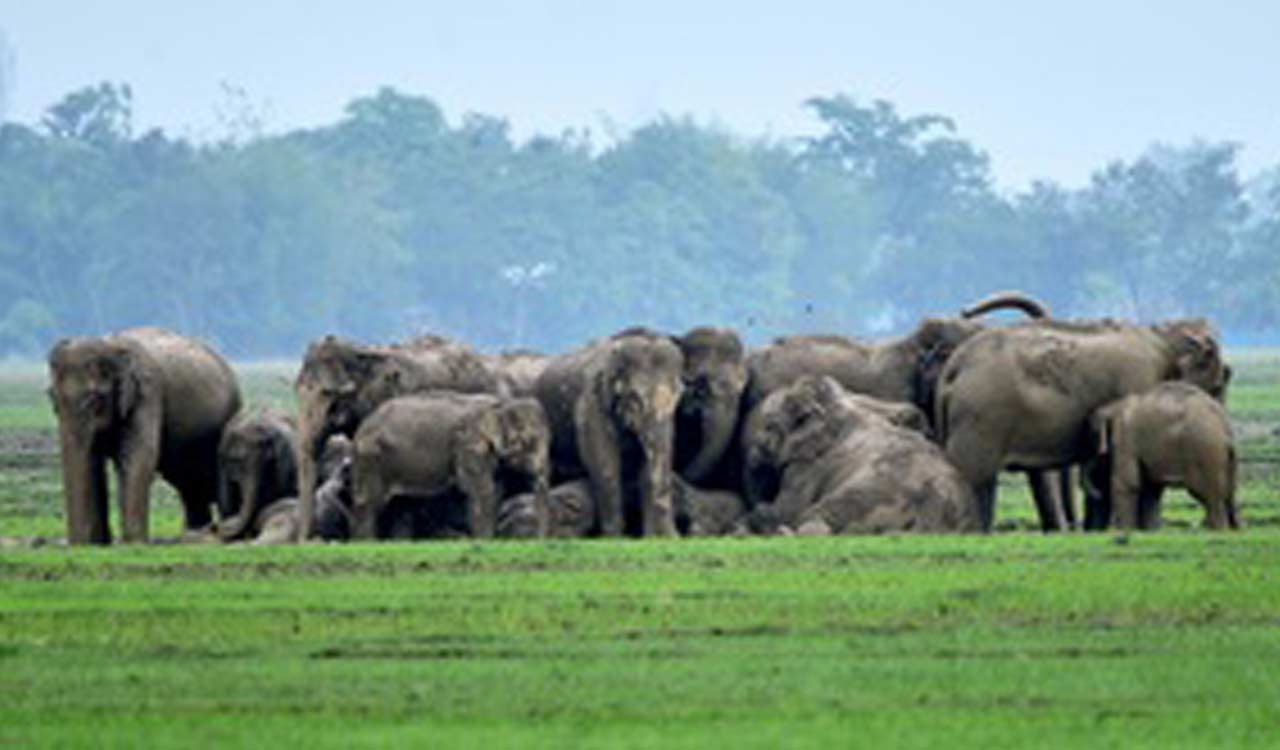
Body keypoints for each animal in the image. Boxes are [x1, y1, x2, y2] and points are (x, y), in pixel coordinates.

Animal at [47, 327, 242, 544]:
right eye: (51, 396)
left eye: (94, 399)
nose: (80, 545)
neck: (110, 345)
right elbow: (93, 462)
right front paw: (98, 545)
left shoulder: (146, 394)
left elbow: (139, 458)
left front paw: (133, 544)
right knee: (189, 486)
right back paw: (196, 534)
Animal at [350, 392, 551, 539]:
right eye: (527, 442)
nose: (539, 540)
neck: (502, 404)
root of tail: (362, 426)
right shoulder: (468, 445)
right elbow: (480, 490)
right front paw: (484, 540)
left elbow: (496, 491)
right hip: (372, 458)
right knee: (369, 502)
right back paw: (366, 543)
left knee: (402, 505)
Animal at [533, 327, 685, 537]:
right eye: (634, 398)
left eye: (678, 396)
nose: (676, 536)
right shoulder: (591, 403)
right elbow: (603, 462)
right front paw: (615, 536)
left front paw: (651, 537)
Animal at [1082, 382, 1239, 531]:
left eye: (1092, 436)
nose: (1098, 494)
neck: (1114, 406)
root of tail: (1225, 429)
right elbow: (1151, 490)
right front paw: (1148, 532)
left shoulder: (1126, 438)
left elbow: (1127, 483)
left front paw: (1126, 530)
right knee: (1229, 497)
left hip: (1205, 452)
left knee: (1210, 498)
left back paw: (1218, 529)